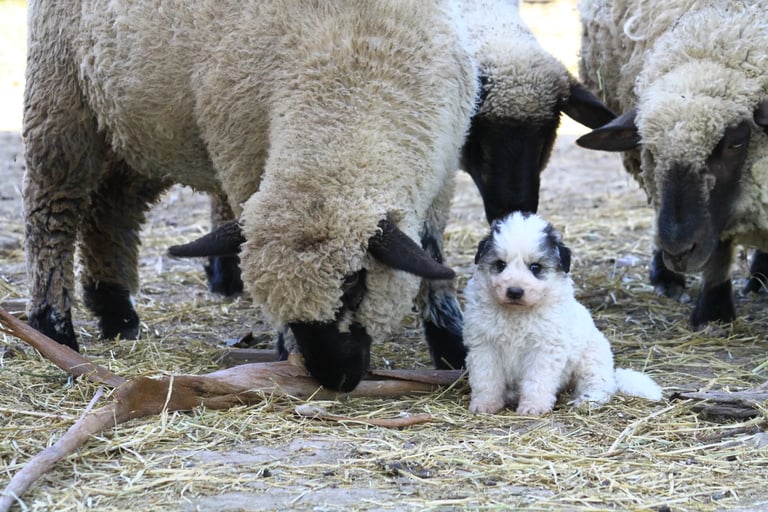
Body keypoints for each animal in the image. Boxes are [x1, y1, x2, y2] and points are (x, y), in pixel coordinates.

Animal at [23, 0, 478, 391]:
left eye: (354, 283)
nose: (334, 378)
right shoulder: (241, 159)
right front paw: (286, 351)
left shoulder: (441, 174)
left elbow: (432, 257)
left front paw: (452, 346)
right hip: (60, 98)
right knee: (51, 216)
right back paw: (54, 327)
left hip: (140, 128)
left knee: (112, 210)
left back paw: (116, 312)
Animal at [577, 0, 768, 328]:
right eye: (649, 147)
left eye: (736, 143)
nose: (677, 251)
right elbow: (718, 248)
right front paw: (713, 312)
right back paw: (667, 279)